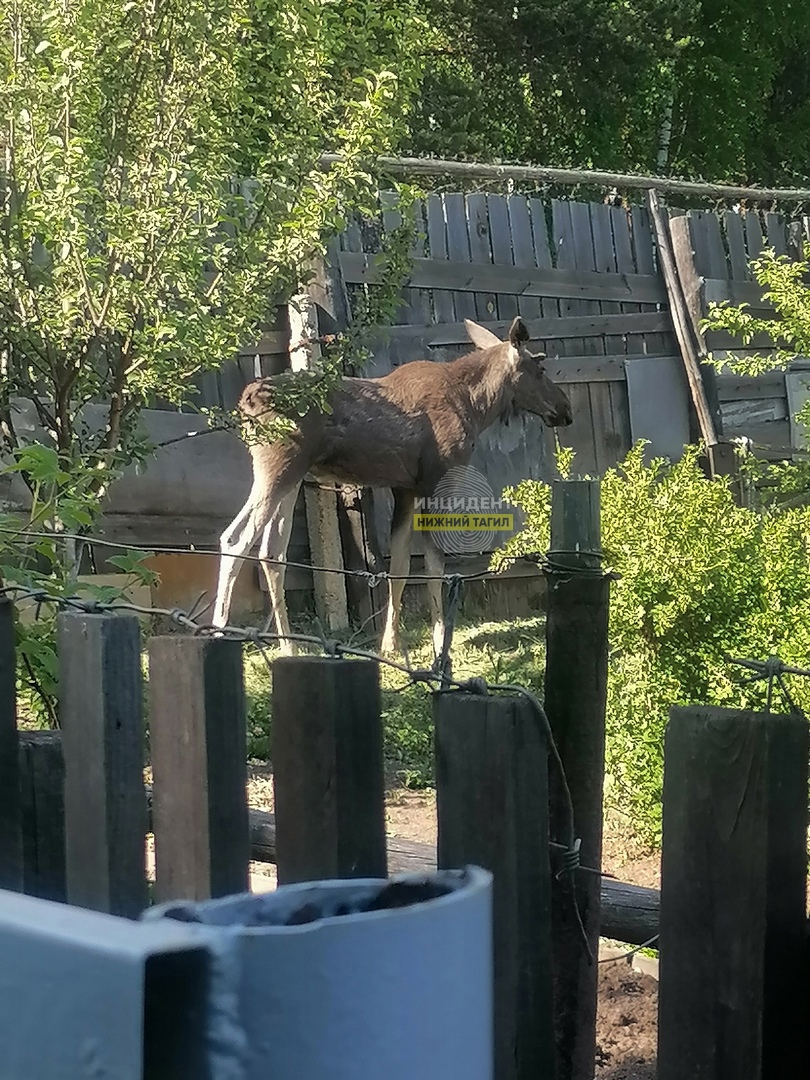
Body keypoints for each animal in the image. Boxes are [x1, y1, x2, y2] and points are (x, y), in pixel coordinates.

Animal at [212, 315, 574, 656]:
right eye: (540, 367)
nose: (566, 409)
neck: (477, 405)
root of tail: (246, 402)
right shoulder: (435, 480)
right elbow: (433, 564)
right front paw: (440, 639)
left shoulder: (406, 488)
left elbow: (399, 565)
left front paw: (391, 644)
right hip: (276, 468)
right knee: (234, 538)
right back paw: (218, 632)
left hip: (293, 476)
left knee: (272, 551)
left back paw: (288, 644)